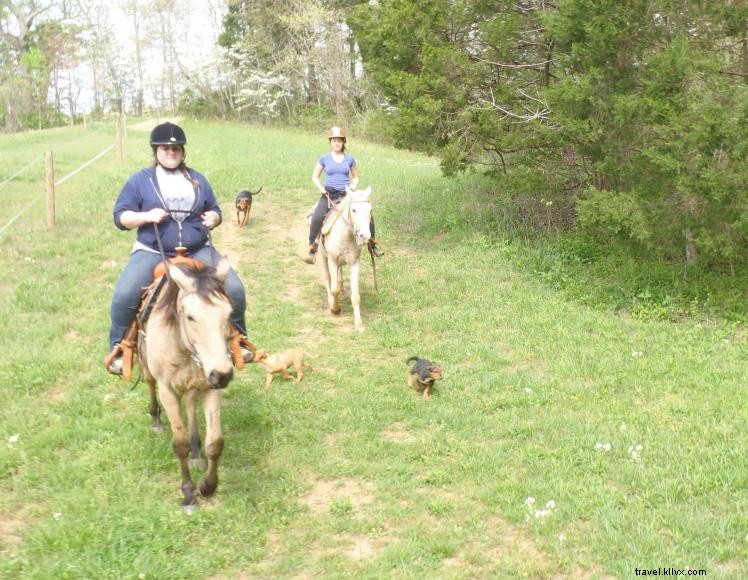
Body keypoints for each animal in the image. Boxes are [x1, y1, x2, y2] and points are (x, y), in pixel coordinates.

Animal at [137, 260, 235, 510]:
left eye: (229, 313)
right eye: (190, 317)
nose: (223, 374)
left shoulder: (210, 386)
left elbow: (215, 442)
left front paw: (208, 486)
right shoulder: (167, 391)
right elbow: (179, 443)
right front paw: (189, 494)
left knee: (190, 405)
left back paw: (196, 454)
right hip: (147, 367)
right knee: (150, 384)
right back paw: (156, 421)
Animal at [318, 186, 372, 330]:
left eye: (370, 210)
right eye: (354, 210)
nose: (364, 236)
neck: (345, 236)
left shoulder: (354, 263)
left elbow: (356, 296)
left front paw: (359, 324)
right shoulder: (332, 260)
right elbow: (334, 289)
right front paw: (335, 309)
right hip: (323, 257)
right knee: (327, 280)